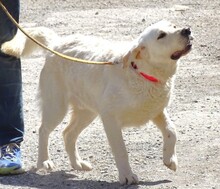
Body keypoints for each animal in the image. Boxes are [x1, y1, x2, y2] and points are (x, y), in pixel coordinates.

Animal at [1, 20, 193, 185]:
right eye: (161, 35)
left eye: (173, 26)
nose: (187, 30)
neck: (141, 73)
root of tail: (56, 44)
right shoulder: (110, 119)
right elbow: (121, 150)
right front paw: (127, 176)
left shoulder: (156, 110)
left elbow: (171, 131)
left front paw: (170, 159)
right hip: (57, 107)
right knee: (44, 130)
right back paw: (44, 161)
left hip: (88, 112)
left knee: (68, 134)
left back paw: (78, 164)